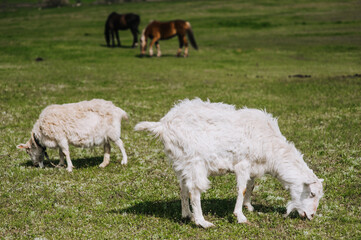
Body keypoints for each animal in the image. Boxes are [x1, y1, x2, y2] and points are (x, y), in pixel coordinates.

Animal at [134, 98, 324, 228]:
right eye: (312, 194)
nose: (311, 216)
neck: (271, 147)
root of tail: (163, 125)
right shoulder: (243, 164)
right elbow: (242, 189)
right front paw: (240, 216)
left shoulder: (253, 166)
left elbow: (251, 185)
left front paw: (249, 206)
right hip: (195, 160)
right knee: (194, 190)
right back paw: (202, 222)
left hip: (181, 161)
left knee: (183, 188)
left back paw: (187, 215)